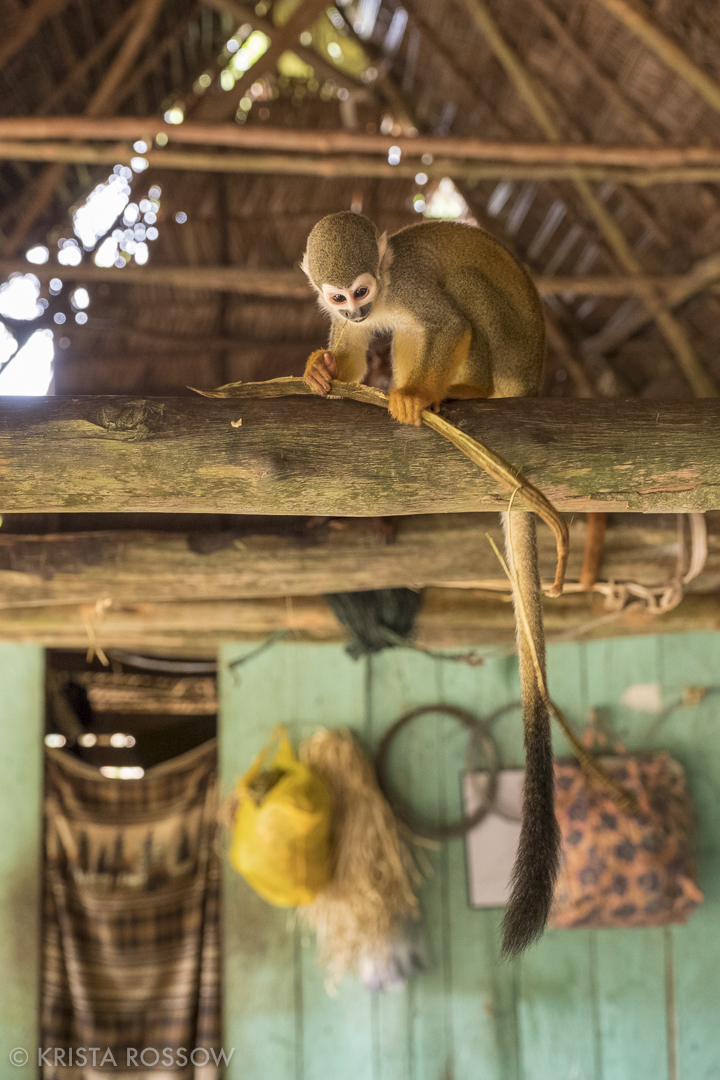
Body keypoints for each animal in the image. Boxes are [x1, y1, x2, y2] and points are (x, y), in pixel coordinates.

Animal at [302, 212, 560, 957]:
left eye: (362, 288)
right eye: (338, 297)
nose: (357, 309)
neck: (387, 287)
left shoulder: (412, 288)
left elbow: (445, 325)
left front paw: (415, 395)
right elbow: (356, 354)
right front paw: (324, 368)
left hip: (513, 354)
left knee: (462, 303)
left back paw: (455, 393)